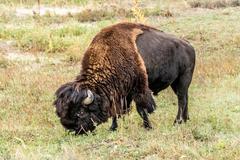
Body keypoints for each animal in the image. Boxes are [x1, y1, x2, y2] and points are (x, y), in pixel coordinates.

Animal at [54, 22, 195, 135]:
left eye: (81, 112)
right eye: (61, 112)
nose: (72, 130)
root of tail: (189, 46)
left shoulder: (138, 89)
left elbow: (141, 109)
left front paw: (147, 127)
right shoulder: (121, 93)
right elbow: (118, 112)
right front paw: (113, 128)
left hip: (183, 79)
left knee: (181, 100)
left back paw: (177, 122)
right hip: (176, 83)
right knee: (185, 98)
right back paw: (186, 119)